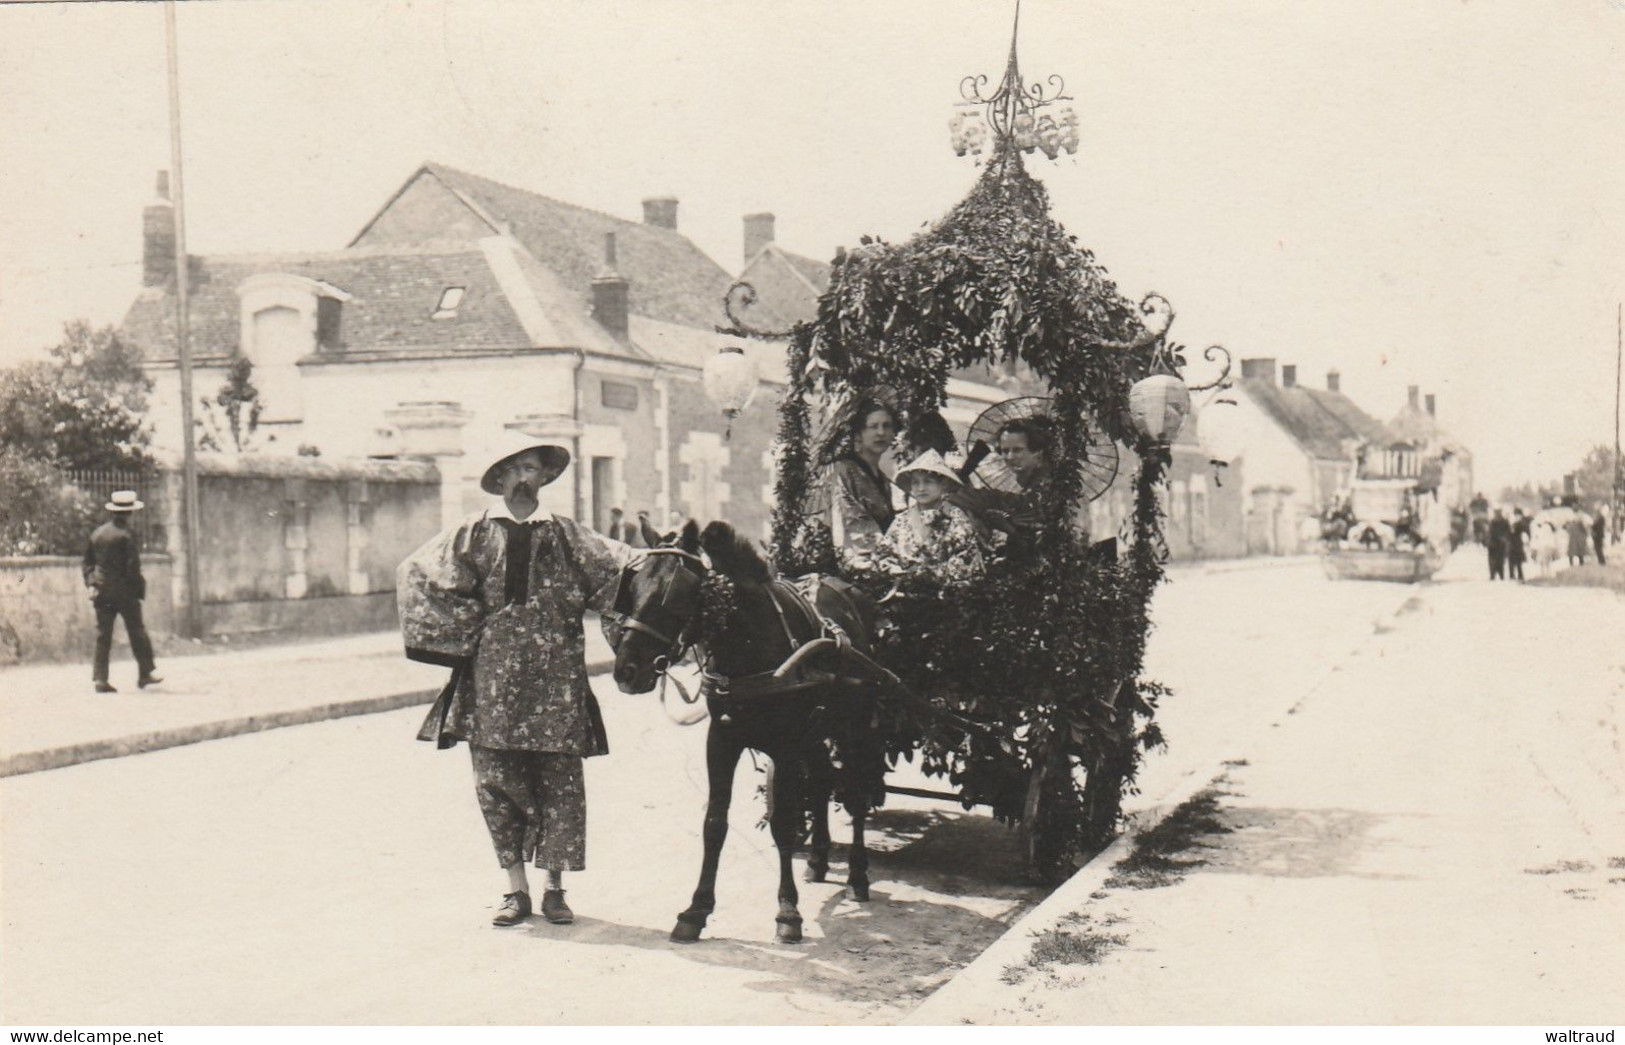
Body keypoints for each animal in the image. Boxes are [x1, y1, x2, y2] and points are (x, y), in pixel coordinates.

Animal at [611, 520, 890, 942]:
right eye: (634, 585)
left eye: (673, 594)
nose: (625, 671)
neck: (751, 642)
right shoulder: (722, 741)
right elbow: (714, 822)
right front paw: (696, 909)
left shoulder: (785, 746)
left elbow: (783, 824)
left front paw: (788, 912)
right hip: (815, 732)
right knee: (823, 780)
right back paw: (820, 858)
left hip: (855, 727)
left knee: (856, 793)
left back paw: (858, 874)